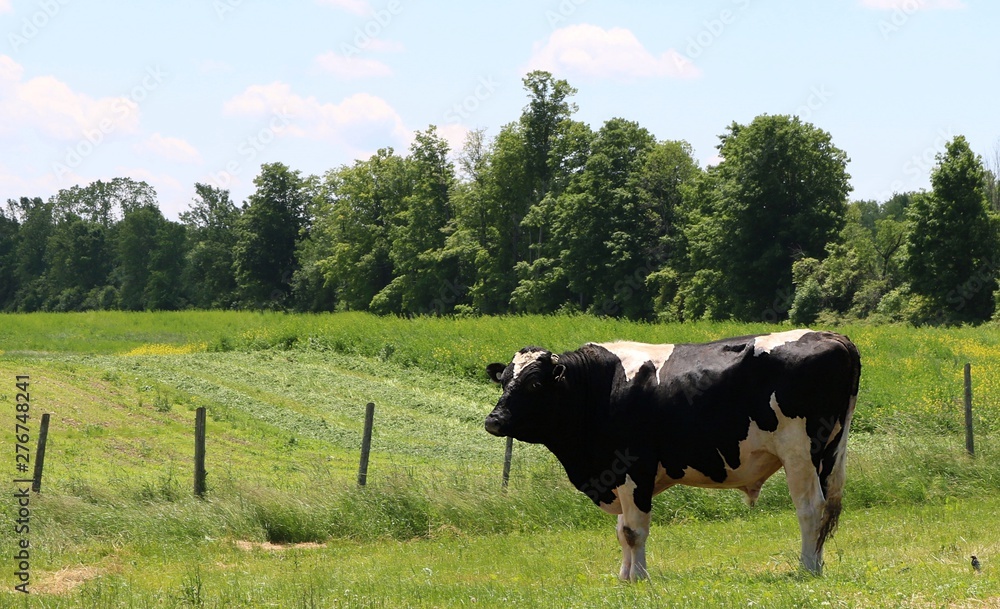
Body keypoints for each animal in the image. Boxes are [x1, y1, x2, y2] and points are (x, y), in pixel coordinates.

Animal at [484, 329, 860, 581]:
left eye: (534, 384)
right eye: (504, 381)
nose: (493, 420)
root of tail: (834, 336)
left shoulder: (633, 467)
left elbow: (634, 530)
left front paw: (639, 578)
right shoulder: (616, 474)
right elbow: (621, 530)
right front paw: (624, 576)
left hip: (799, 451)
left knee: (810, 509)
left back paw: (806, 568)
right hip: (828, 454)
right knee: (825, 510)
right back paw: (818, 563)